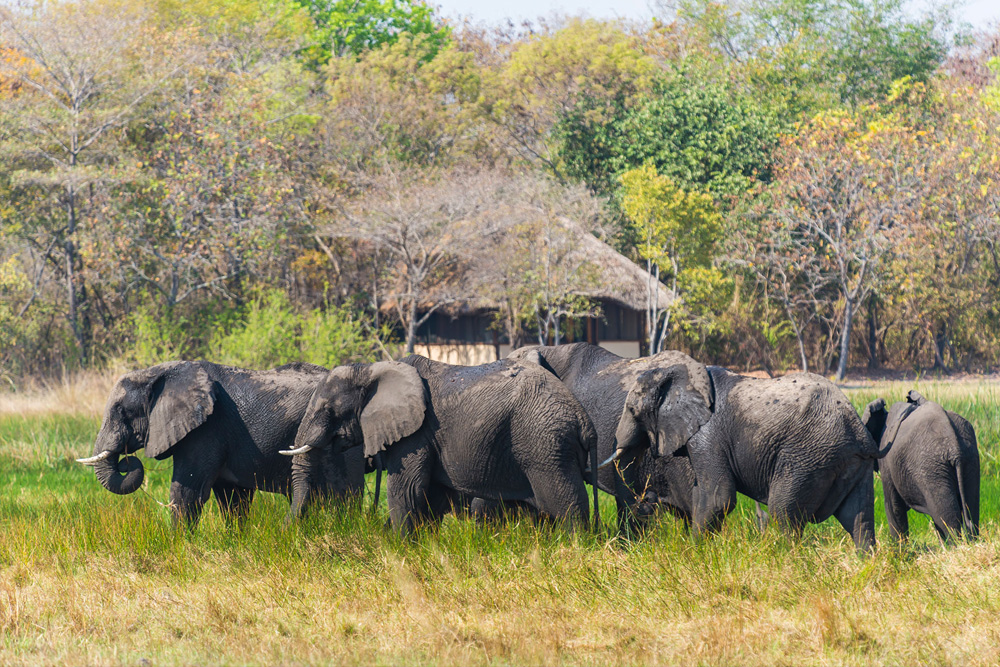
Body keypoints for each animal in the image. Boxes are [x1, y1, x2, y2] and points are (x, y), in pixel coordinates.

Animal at [77, 360, 364, 529]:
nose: (126, 460)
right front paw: (236, 541)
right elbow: (232, 497)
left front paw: (178, 548)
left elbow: (187, 492)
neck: (159, 372)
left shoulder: (206, 430)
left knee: (344, 493)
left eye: (121, 411)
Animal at [281, 355, 599, 534]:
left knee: (565, 504)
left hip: (545, 444)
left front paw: (398, 548)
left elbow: (407, 489)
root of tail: (584, 420)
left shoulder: (416, 433)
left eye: (328, 409)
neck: (371, 369)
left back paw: (574, 548)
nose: (289, 533)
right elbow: (431, 496)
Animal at [861, 390, 979, 542]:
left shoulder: (886, 460)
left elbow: (893, 507)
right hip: (969, 459)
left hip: (932, 469)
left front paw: (899, 547)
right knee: (971, 512)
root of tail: (954, 447)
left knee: (947, 520)